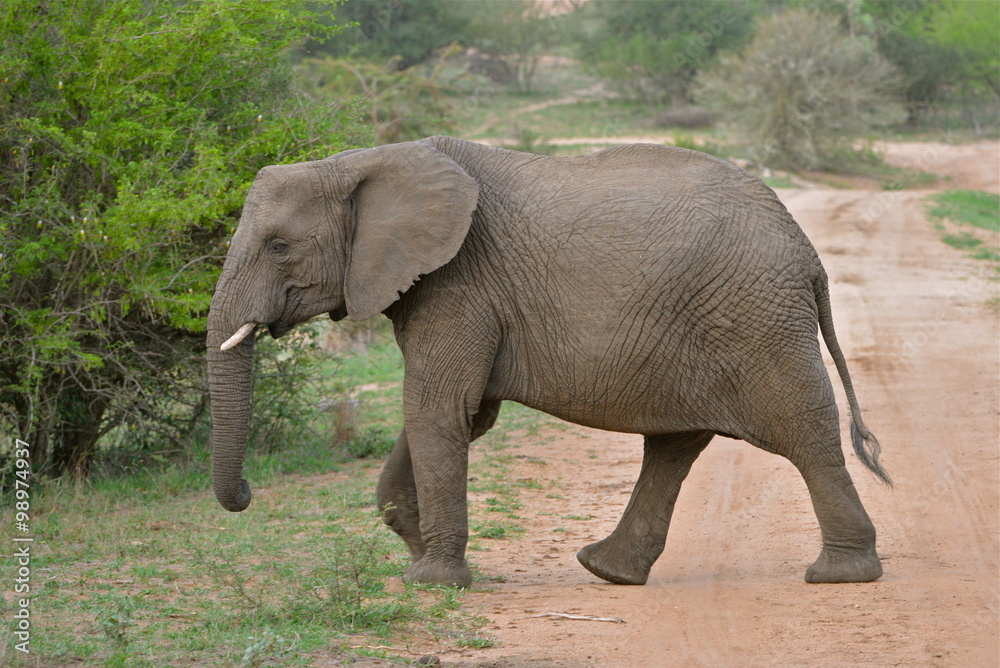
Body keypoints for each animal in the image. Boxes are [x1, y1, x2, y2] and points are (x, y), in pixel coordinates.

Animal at [207, 135, 891, 589]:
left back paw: (840, 574)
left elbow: (438, 409)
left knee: (803, 434)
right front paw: (416, 549)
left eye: (279, 246)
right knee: (674, 446)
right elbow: (462, 415)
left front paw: (432, 581)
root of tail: (808, 253)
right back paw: (608, 570)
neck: (360, 163)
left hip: (756, 319)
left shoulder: (460, 283)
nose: (245, 494)